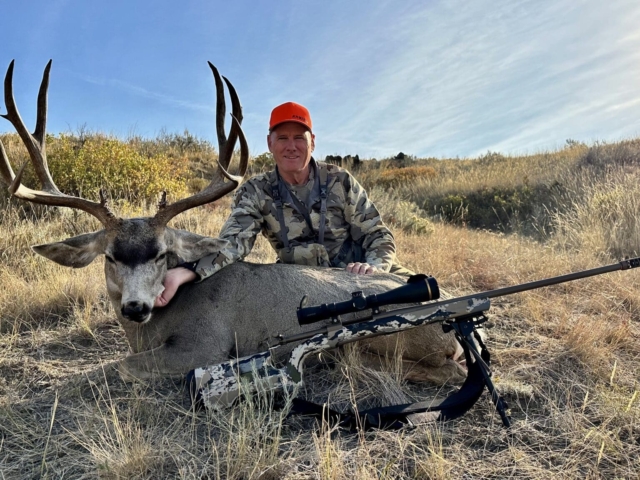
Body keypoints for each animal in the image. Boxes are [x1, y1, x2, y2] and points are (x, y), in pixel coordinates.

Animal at [0, 61, 467, 385]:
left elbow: (122, 366)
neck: (156, 325)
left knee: (448, 372)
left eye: (162, 254)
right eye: (111, 256)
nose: (136, 307)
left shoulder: (206, 345)